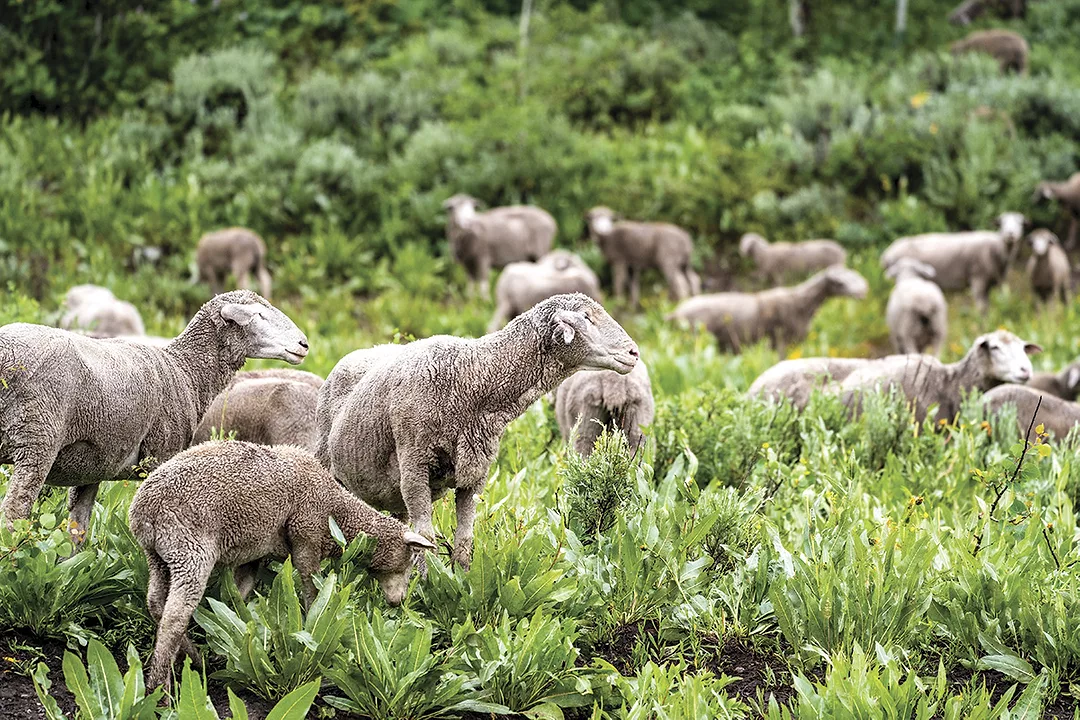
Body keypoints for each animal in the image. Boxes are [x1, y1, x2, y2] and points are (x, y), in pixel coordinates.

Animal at [0, 290, 308, 545]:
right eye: (259, 315)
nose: (304, 343)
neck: (185, 370)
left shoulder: (92, 464)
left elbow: (78, 530)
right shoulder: (162, 456)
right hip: (37, 440)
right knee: (13, 516)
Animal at [129, 441, 435, 692]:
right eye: (410, 561)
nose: (399, 601)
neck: (337, 511)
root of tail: (143, 511)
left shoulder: (254, 552)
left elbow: (239, 593)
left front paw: (232, 636)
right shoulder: (306, 536)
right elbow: (311, 588)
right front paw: (313, 624)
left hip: (158, 556)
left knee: (155, 603)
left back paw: (193, 657)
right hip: (191, 550)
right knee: (175, 615)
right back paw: (160, 688)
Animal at [322, 293, 639, 569]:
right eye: (586, 317)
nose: (634, 352)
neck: (472, 378)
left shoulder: (474, 473)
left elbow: (464, 542)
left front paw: (458, 583)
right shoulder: (414, 465)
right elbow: (426, 539)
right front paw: (424, 587)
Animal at [667, 266, 868, 354]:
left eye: (857, 276)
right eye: (840, 283)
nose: (863, 291)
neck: (801, 303)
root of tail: (675, 312)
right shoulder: (780, 340)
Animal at [879, 213, 1026, 312]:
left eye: (1019, 223)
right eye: (1002, 223)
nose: (1010, 234)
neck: (998, 249)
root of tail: (885, 254)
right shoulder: (978, 279)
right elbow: (982, 309)